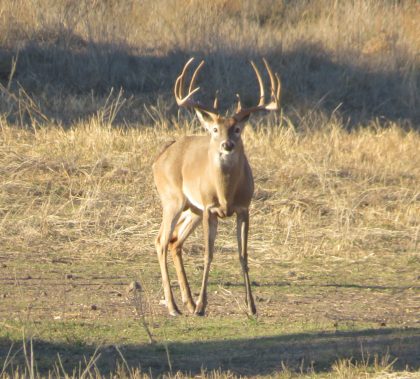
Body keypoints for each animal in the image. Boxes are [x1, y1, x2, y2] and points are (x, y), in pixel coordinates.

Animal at [153, 57, 280, 318]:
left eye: (237, 129)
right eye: (215, 129)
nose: (227, 145)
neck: (225, 195)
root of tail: (159, 158)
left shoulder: (244, 209)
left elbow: (243, 255)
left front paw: (251, 306)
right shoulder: (209, 208)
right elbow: (208, 254)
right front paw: (202, 306)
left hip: (192, 209)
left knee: (174, 241)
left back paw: (187, 302)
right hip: (173, 199)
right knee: (160, 240)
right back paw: (174, 307)